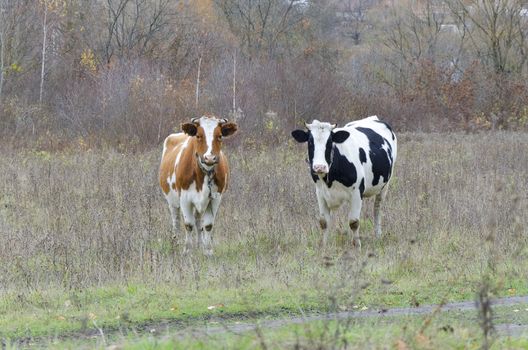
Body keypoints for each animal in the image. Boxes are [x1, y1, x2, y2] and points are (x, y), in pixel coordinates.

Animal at [159, 116, 237, 256]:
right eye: (199, 136)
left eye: (220, 136)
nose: (209, 158)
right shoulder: (184, 199)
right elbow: (188, 224)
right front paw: (187, 251)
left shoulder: (215, 199)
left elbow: (207, 225)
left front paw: (208, 251)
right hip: (171, 201)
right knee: (176, 222)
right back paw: (175, 244)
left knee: (198, 221)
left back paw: (200, 245)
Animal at [290, 116, 398, 247]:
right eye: (310, 142)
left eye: (330, 142)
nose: (319, 167)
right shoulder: (320, 192)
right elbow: (324, 222)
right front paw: (323, 247)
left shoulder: (357, 192)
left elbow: (354, 222)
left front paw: (357, 246)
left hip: (385, 185)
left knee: (377, 208)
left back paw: (378, 235)